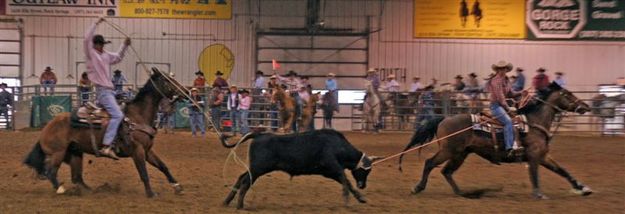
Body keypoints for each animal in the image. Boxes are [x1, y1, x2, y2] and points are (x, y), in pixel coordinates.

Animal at [24, 69, 185, 197]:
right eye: (167, 80)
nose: (186, 91)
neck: (137, 116)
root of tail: (48, 126)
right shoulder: (138, 150)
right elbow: (144, 173)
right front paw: (151, 193)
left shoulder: (147, 150)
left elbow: (163, 166)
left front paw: (177, 186)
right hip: (58, 153)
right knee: (51, 172)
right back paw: (61, 189)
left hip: (75, 153)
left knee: (77, 177)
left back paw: (91, 190)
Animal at [400, 83, 588, 200]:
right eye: (568, 94)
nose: (585, 106)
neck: (535, 123)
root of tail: (444, 118)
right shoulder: (534, 157)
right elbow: (535, 176)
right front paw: (539, 194)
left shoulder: (543, 156)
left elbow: (562, 171)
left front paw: (583, 188)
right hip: (449, 151)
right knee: (430, 163)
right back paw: (418, 187)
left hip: (460, 154)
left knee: (446, 171)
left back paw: (464, 193)